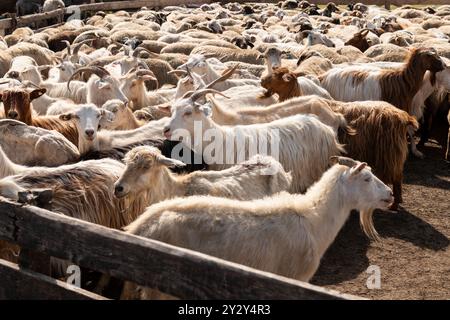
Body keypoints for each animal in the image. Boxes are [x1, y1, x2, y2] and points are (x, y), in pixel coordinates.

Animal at [121, 156, 392, 298]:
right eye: (367, 178)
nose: (389, 194)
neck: (313, 219)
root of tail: (141, 225)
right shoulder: (291, 280)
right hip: (161, 288)